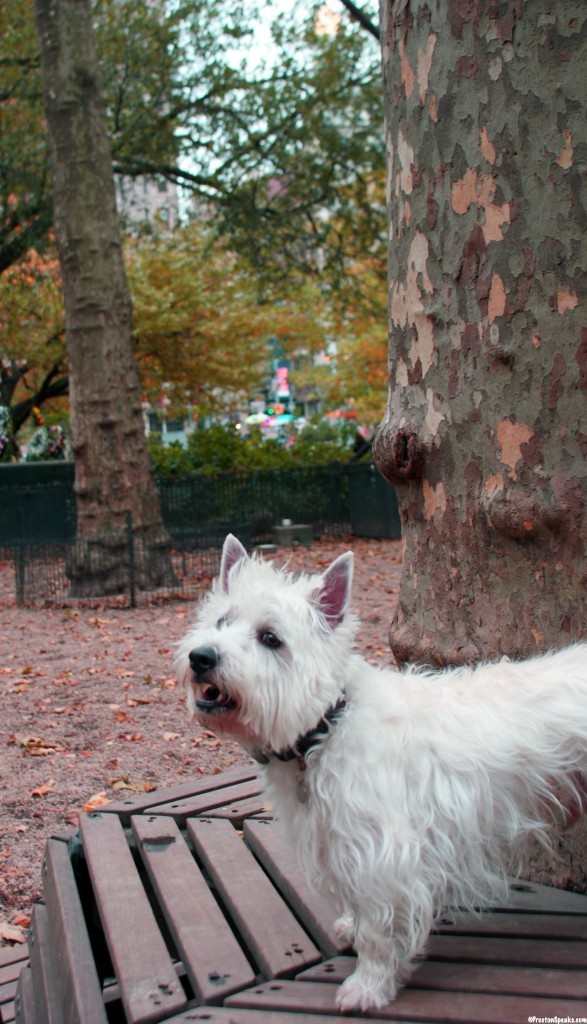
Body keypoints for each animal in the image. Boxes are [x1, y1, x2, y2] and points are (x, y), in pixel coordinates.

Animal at [177, 532, 585, 1011]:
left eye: (271, 638)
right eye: (222, 620)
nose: (201, 657)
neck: (327, 727)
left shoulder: (380, 852)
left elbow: (378, 924)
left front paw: (368, 986)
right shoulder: (334, 837)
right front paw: (350, 929)